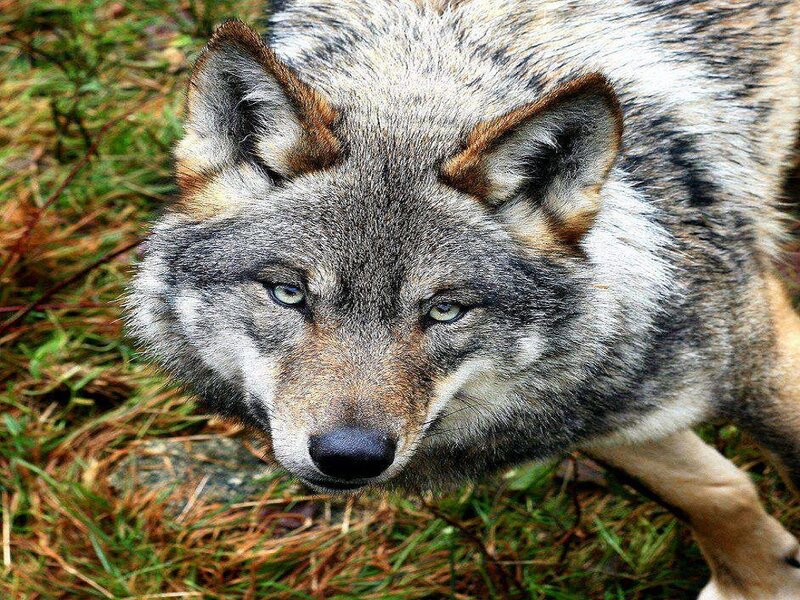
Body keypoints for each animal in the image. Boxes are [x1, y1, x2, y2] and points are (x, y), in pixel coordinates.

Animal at [126, 0, 800, 597]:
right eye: (288, 293)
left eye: (445, 310)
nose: (350, 457)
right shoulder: (598, 413)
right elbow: (715, 494)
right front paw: (762, 583)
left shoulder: (762, 361)